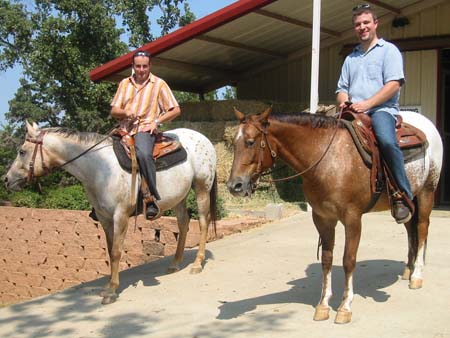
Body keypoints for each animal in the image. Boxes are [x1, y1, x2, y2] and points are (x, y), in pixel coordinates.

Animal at [6, 121, 217, 304]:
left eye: (22, 151)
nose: (7, 179)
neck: (100, 168)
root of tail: (204, 138)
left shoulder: (120, 215)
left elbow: (116, 252)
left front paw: (112, 291)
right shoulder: (104, 218)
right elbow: (109, 251)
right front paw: (108, 286)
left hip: (201, 188)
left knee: (203, 222)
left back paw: (197, 263)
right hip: (178, 197)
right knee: (183, 221)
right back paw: (175, 263)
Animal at [229, 107, 442, 324]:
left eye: (251, 141)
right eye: (233, 143)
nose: (234, 186)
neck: (328, 159)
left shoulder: (352, 218)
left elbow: (348, 260)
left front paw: (345, 307)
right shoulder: (322, 218)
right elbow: (327, 259)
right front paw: (323, 305)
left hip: (426, 192)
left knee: (422, 229)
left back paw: (417, 276)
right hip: (409, 200)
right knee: (410, 229)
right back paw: (408, 270)